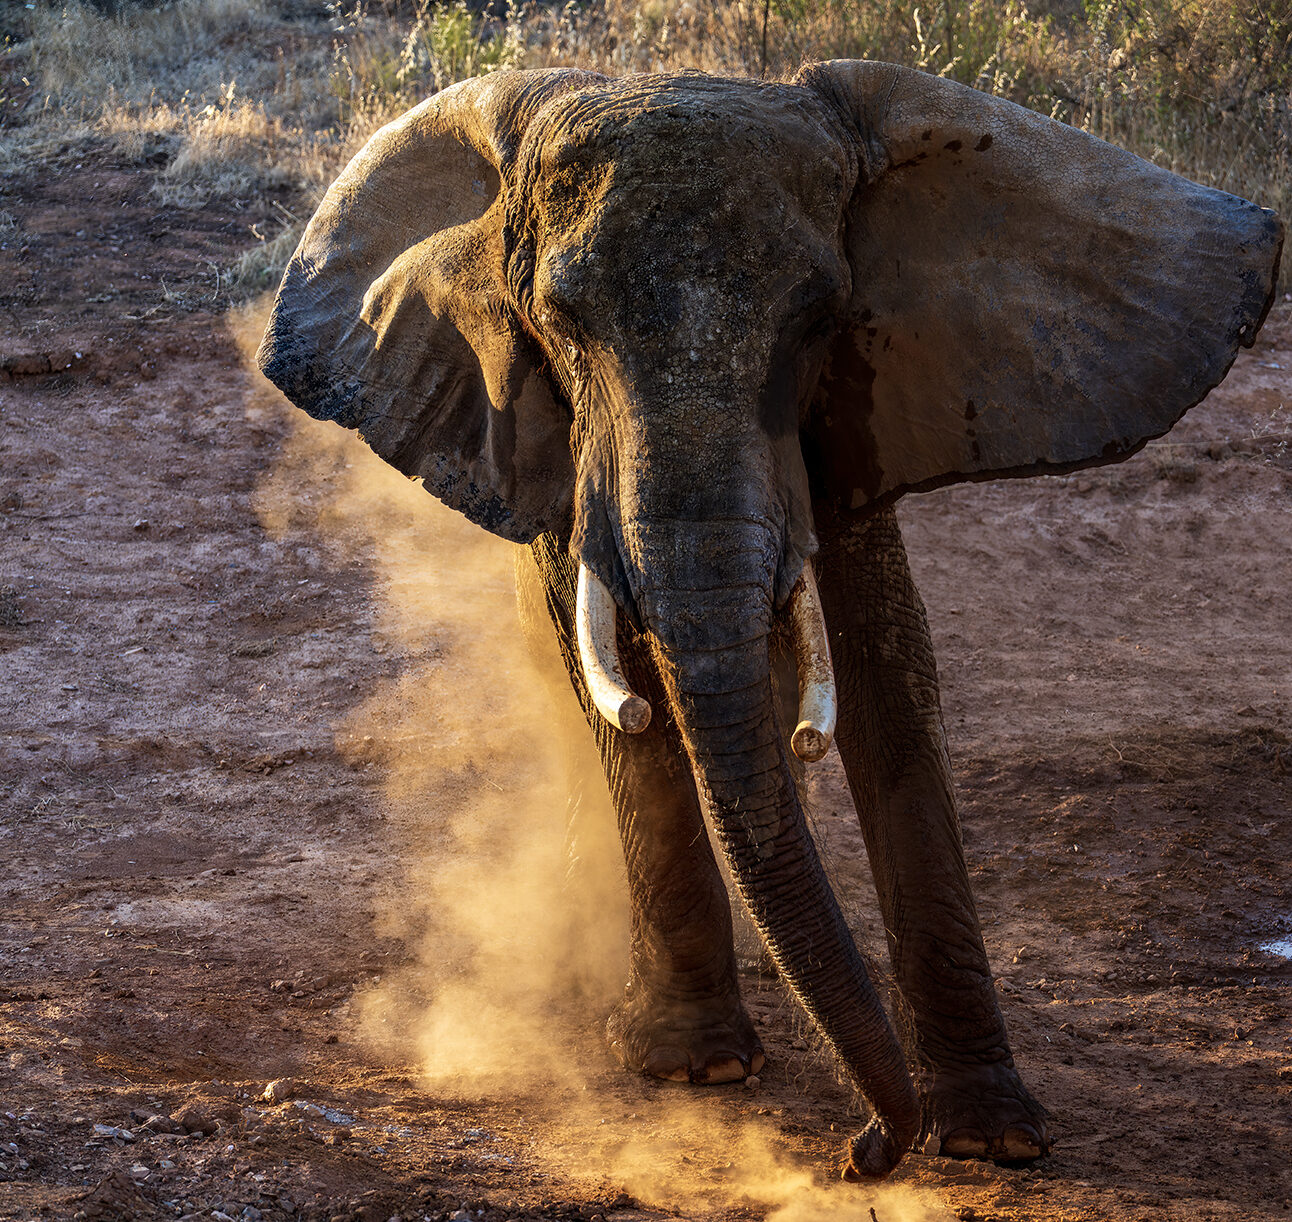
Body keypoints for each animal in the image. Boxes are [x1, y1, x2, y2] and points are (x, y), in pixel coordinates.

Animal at [256, 62, 1283, 1179]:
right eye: (559, 324)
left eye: (817, 320)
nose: (864, 1150)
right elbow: (619, 686)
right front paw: (694, 1067)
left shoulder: (865, 396)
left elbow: (888, 680)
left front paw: (993, 1133)